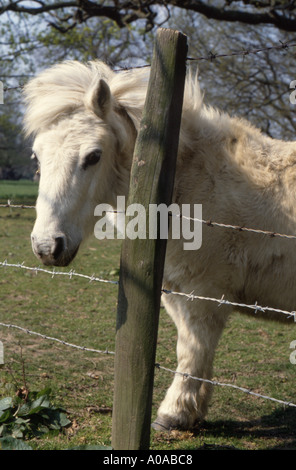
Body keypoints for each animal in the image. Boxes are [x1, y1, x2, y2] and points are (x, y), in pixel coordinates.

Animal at [23, 60, 296, 432]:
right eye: (37, 156)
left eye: (93, 156)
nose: (46, 245)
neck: (186, 185)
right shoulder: (175, 292)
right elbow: (195, 354)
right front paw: (193, 410)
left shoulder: (202, 296)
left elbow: (192, 350)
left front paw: (172, 414)